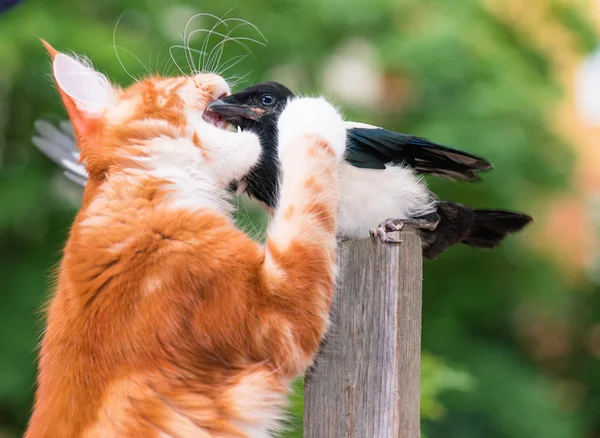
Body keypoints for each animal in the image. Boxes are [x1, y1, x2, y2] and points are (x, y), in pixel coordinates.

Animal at [27, 41, 346, 438]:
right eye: (169, 83)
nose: (209, 76)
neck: (147, 187)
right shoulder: (279, 312)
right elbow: (308, 186)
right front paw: (310, 112)